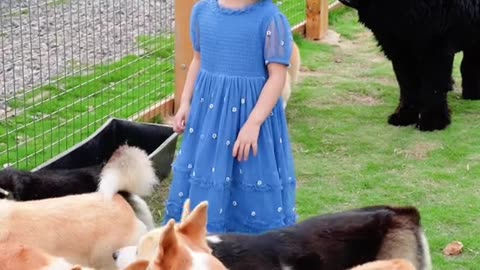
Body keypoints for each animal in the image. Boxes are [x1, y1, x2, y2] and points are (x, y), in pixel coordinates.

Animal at [338, 0, 480, 131]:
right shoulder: (400, 48)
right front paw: (404, 116)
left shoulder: (435, 45)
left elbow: (433, 87)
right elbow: (408, 87)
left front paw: (432, 121)